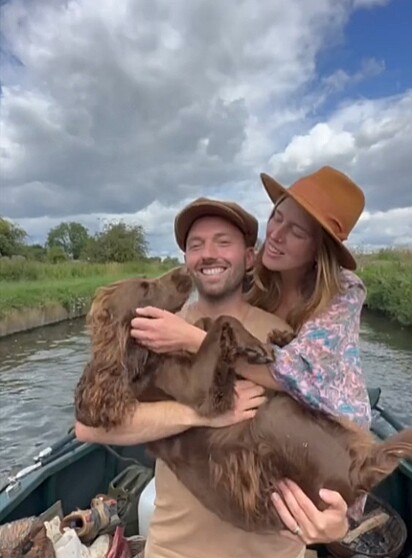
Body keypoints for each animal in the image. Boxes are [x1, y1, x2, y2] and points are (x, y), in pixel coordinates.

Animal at [74, 266, 412, 532]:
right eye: (145, 287)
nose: (185, 270)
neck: (137, 357)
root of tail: (360, 470)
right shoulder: (200, 390)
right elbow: (220, 320)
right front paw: (253, 345)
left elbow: (207, 323)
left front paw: (264, 340)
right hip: (275, 417)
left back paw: (283, 338)